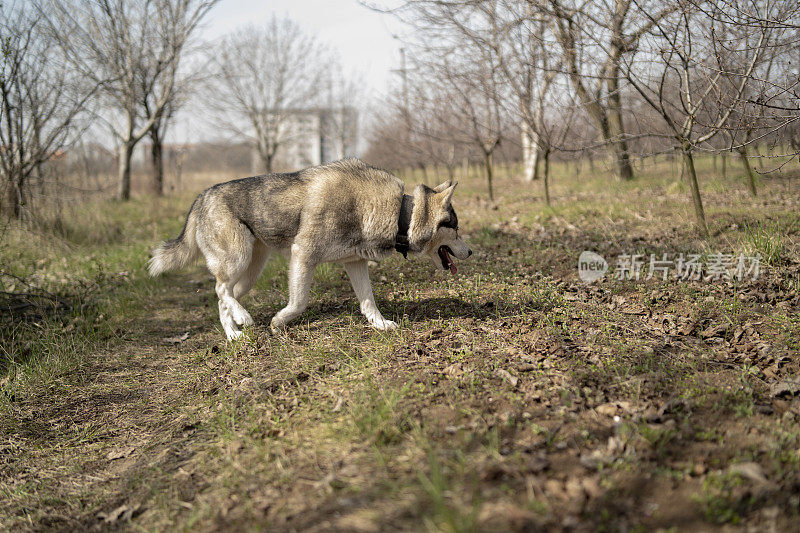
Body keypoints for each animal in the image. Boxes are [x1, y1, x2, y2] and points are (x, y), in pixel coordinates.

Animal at [148, 159, 472, 340]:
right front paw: (278, 324)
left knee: (222, 297)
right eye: (455, 227)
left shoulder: (355, 263)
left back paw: (234, 333)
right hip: (237, 259)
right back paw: (244, 321)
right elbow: (299, 302)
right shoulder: (302, 255)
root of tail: (202, 196)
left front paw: (381, 325)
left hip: (250, 272)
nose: (470, 253)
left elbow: (368, 302)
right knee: (219, 290)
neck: (397, 213)